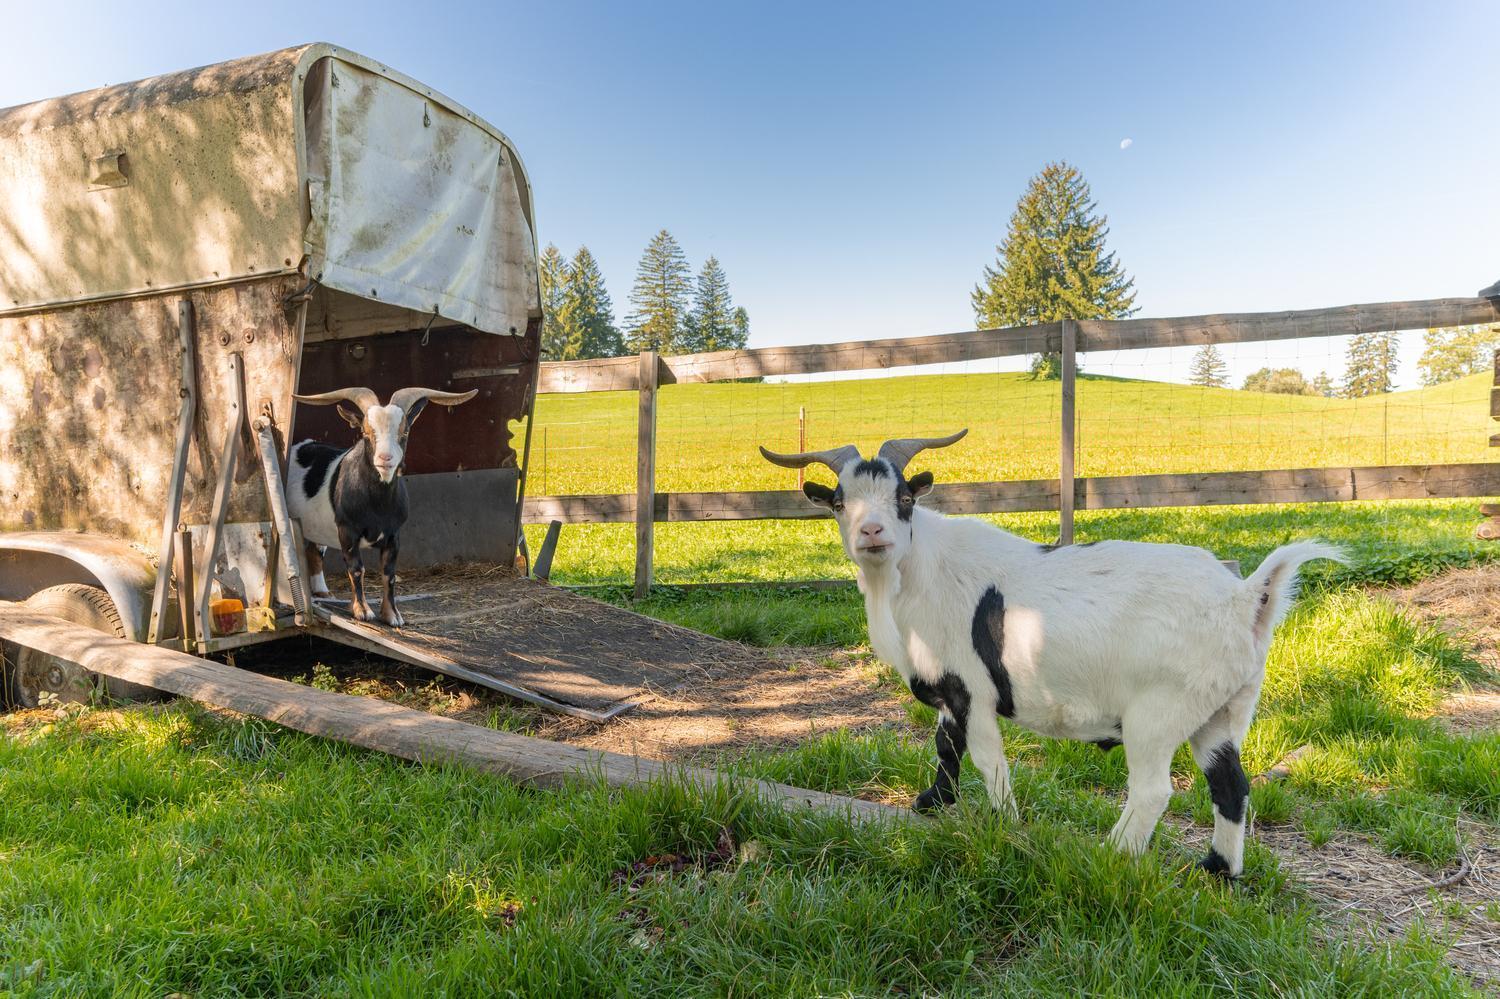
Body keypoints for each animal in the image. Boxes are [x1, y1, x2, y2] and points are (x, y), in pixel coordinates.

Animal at [282, 387, 468, 627]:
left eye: (404, 433)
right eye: (365, 433)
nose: (385, 458)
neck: (377, 507)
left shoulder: (394, 535)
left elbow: (389, 574)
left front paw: (392, 615)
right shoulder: (347, 530)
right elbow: (356, 569)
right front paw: (362, 611)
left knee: (315, 550)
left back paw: (322, 592)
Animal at [756, 423, 1344, 876]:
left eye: (904, 498)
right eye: (839, 503)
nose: (873, 532)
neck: (919, 574)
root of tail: (1245, 598)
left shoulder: (974, 690)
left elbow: (986, 758)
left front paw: (1003, 827)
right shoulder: (948, 689)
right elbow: (946, 746)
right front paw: (932, 804)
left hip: (1159, 711)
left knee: (1153, 790)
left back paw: (1112, 855)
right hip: (1221, 712)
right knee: (1231, 786)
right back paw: (1218, 871)